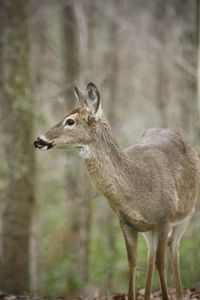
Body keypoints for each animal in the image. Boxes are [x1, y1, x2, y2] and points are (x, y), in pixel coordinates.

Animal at [34, 82, 200, 300]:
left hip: (186, 213)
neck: (136, 188)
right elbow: (132, 261)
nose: (38, 140)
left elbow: (161, 261)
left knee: (173, 248)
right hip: (150, 228)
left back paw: (179, 293)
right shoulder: (125, 220)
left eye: (70, 121)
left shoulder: (164, 218)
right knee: (151, 253)